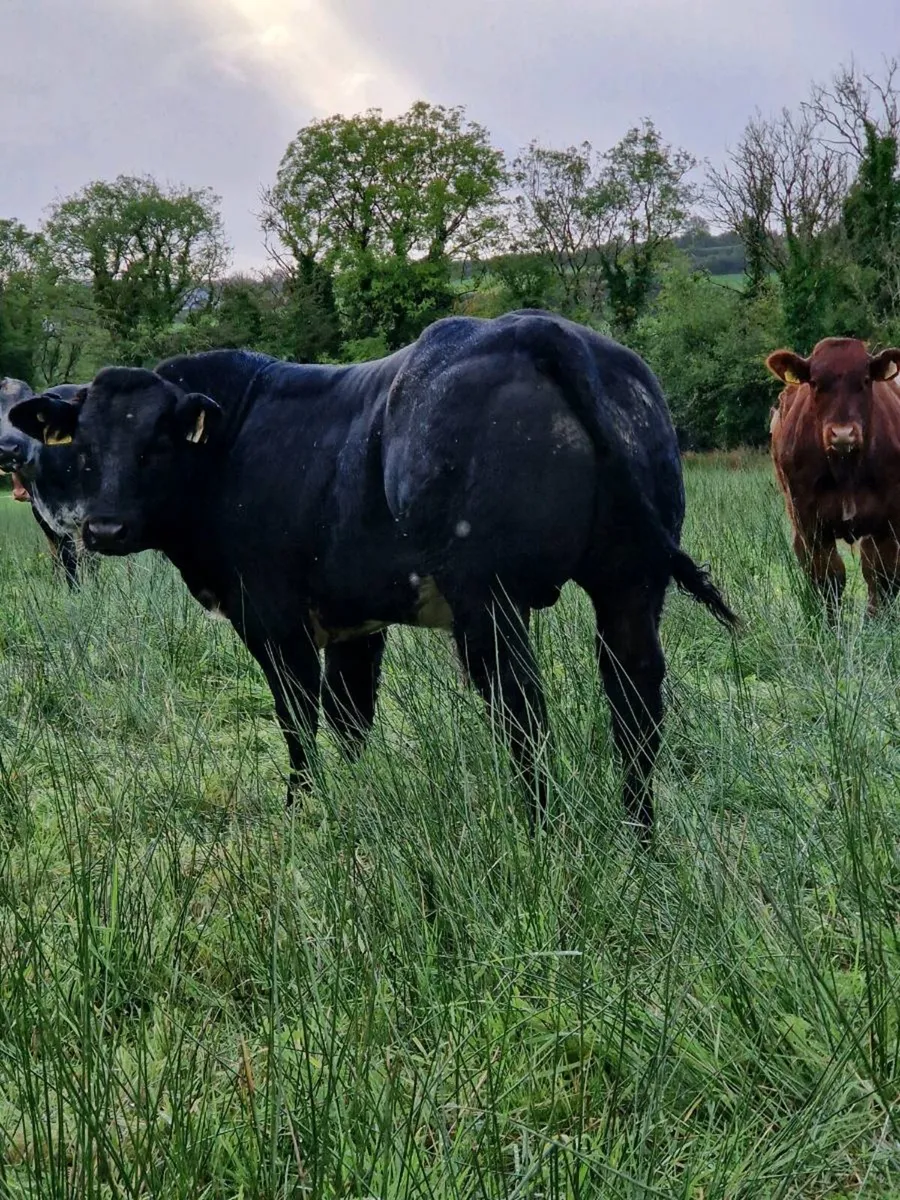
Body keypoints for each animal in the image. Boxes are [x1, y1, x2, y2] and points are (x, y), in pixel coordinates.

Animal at [766, 337, 900, 617]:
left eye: (865, 380)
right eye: (815, 382)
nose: (842, 434)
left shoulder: (888, 524)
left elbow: (883, 576)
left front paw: (879, 621)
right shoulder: (812, 527)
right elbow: (828, 580)